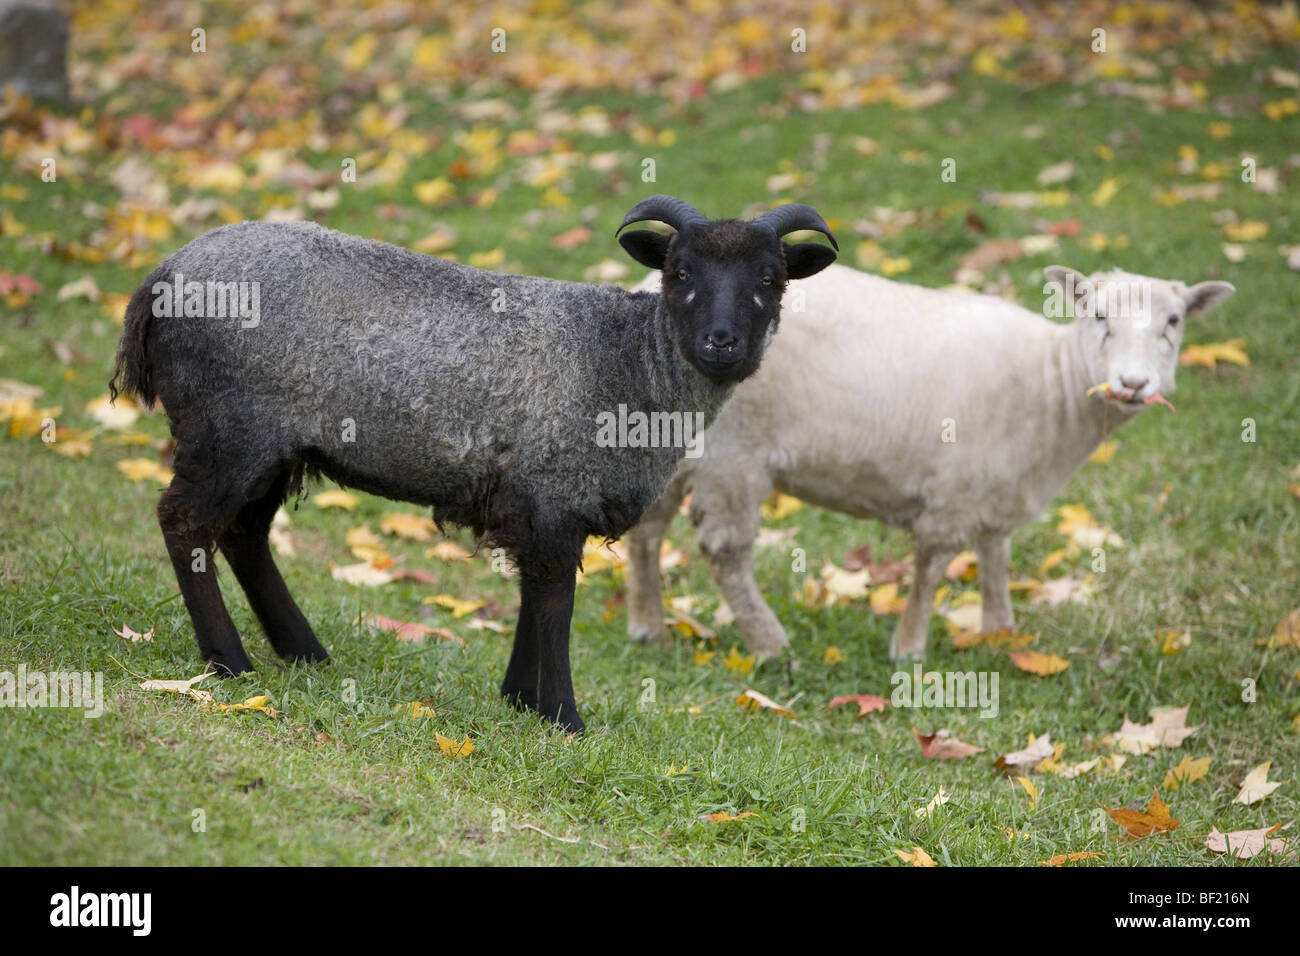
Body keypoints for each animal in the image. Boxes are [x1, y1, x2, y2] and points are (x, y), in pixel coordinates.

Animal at [114, 195, 842, 733]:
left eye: (771, 279)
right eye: (680, 273)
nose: (723, 343)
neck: (628, 361)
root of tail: (159, 279)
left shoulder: (532, 501)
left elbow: (530, 597)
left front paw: (520, 699)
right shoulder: (554, 491)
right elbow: (554, 603)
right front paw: (562, 717)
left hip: (274, 443)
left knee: (244, 533)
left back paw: (303, 652)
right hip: (229, 427)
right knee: (184, 521)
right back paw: (229, 662)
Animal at [624, 265, 1232, 660]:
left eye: (1175, 322)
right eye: (1098, 315)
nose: (1133, 384)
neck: (1051, 384)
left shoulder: (997, 486)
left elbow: (995, 555)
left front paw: (1000, 631)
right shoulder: (955, 489)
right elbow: (932, 563)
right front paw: (909, 649)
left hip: (664, 436)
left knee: (647, 529)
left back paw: (648, 626)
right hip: (732, 454)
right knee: (725, 551)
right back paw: (769, 644)